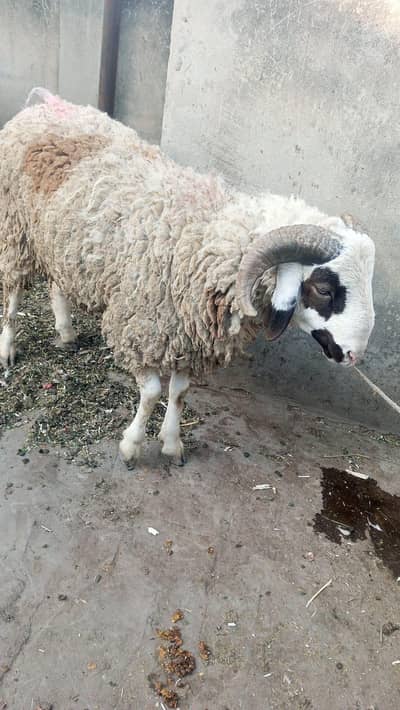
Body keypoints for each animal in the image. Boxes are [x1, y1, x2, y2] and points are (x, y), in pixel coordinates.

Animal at [0, 89, 375, 465]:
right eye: (324, 288)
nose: (354, 355)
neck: (204, 240)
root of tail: (46, 104)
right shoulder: (140, 326)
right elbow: (153, 392)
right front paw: (132, 445)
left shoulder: (188, 332)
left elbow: (179, 392)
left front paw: (171, 442)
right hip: (16, 230)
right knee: (14, 295)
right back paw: (8, 349)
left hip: (57, 239)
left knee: (56, 281)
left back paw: (65, 331)